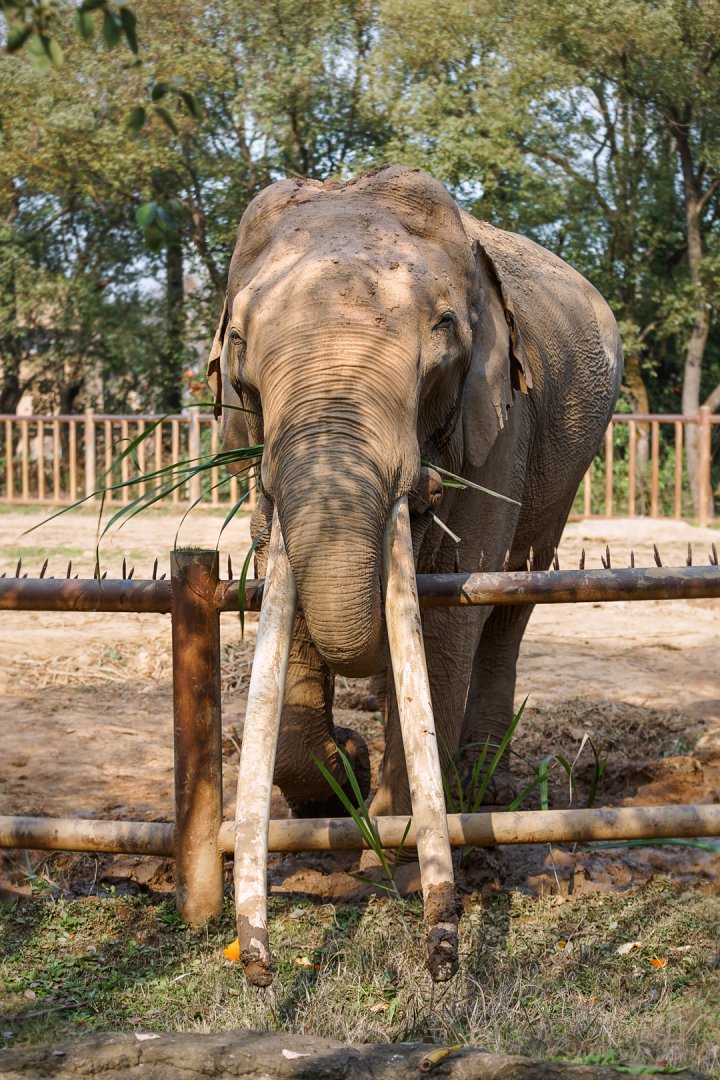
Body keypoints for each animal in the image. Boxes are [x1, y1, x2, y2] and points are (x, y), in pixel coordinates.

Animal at [207, 164, 623, 823]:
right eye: (239, 341)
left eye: (445, 327)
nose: (425, 487)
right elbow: (285, 577)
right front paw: (340, 783)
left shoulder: (501, 424)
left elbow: (452, 600)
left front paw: (394, 827)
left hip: (568, 467)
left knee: (515, 593)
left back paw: (482, 788)